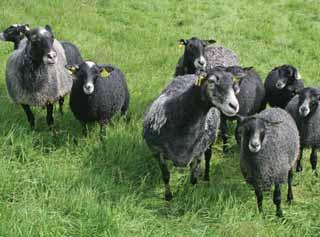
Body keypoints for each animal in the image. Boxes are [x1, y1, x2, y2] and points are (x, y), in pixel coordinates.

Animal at [143, 68, 240, 200]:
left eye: (233, 83)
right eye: (211, 82)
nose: (234, 106)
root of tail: (190, 74)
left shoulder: (198, 153)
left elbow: (193, 179)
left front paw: (191, 196)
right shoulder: (156, 151)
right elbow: (166, 175)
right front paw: (168, 196)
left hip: (210, 140)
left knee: (208, 157)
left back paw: (206, 177)